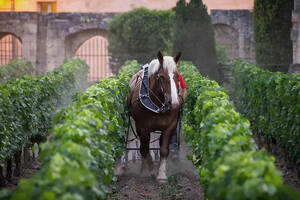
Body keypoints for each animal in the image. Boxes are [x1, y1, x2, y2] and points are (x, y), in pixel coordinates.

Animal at [127, 51, 182, 183]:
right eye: (161, 77)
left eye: (177, 76)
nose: (174, 103)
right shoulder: (142, 128)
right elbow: (144, 149)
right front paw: (150, 170)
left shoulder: (170, 127)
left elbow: (164, 150)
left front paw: (161, 175)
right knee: (143, 148)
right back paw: (144, 170)